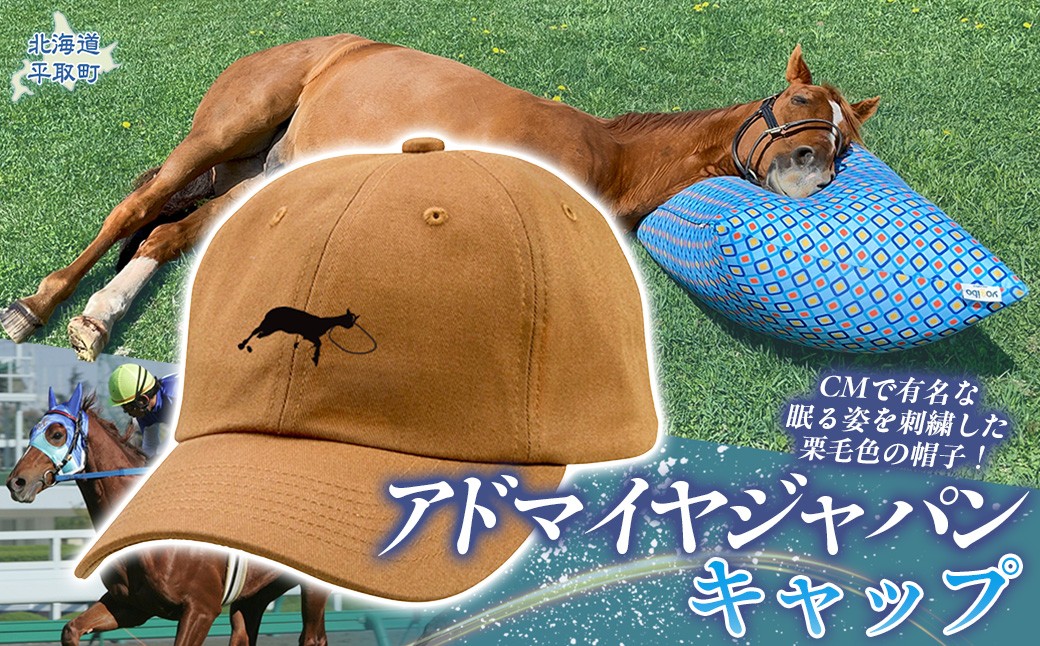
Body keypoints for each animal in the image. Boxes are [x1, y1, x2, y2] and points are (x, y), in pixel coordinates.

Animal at [0, 38, 879, 360]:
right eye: (795, 105)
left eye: (845, 141)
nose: (810, 174)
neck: (599, 155)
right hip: (227, 131)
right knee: (133, 212)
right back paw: (38, 308)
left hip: (263, 170)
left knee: (167, 233)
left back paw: (100, 314)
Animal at [4, 383, 330, 646]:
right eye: (31, 431)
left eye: (57, 434)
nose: (15, 482)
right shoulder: (131, 606)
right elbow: (70, 629)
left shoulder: (201, 608)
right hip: (256, 594)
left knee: (312, 638)